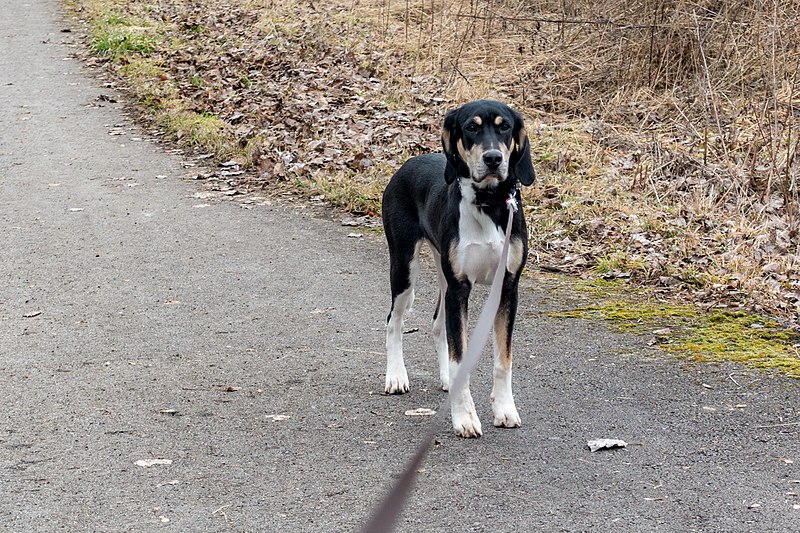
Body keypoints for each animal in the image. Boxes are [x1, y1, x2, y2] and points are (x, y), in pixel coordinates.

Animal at [382, 98, 536, 436]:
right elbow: (459, 356)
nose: (493, 159)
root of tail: (405, 165)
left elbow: (503, 360)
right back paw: (396, 376)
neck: (489, 204)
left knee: (438, 325)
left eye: (505, 126)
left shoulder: (506, 287)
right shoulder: (460, 288)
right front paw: (464, 417)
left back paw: (444, 381)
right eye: (471, 127)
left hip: (443, 277)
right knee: (394, 321)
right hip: (404, 267)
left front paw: (505, 410)